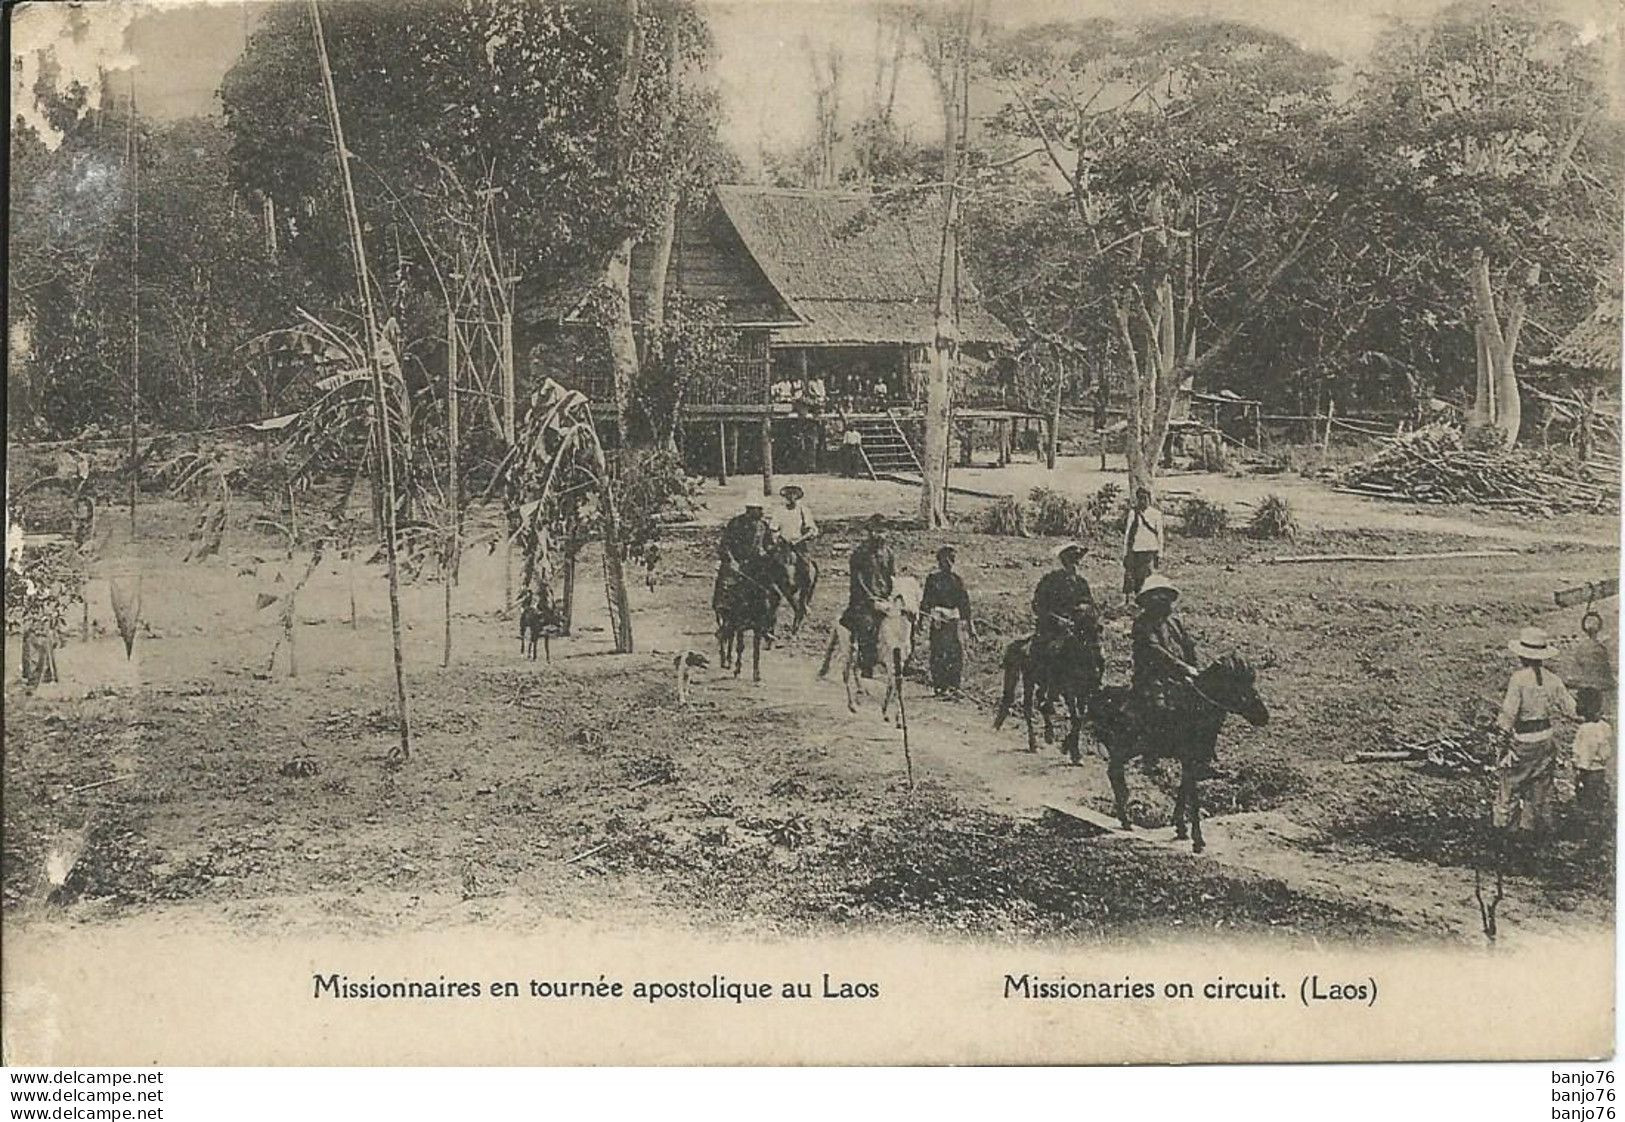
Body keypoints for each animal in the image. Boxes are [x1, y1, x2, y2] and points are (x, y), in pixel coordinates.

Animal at [715, 543, 796, 676]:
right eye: (779, 565)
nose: (793, 586)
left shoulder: (757, 628)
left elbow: (756, 651)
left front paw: (756, 674)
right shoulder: (740, 626)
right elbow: (740, 647)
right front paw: (737, 669)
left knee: (727, 635)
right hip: (725, 618)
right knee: (724, 635)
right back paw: (725, 660)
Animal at [988, 611, 1105, 761]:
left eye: (1099, 631)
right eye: (1083, 632)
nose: (1099, 656)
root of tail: (1024, 643)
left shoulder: (1084, 693)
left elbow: (1081, 717)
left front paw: (1069, 748)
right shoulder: (1070, 692)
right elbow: (1076, 718)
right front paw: (1073, 752)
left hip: (1044, 684)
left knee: (1043, 703)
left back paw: (1048, 733)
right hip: (1029, 680)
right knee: (1029, 708)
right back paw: (1034, 743)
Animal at [1085, 650, 1274, 852]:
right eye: (1238, 683)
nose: (1263, 716)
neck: (1197, 707)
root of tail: (1099, 697)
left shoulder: (1190, 760)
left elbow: (1183, 791)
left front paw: (1181, 827)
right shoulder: (1191, 760)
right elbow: (1193, 798)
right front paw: (1197, 840)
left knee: (1115, 773)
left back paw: (1124, 817)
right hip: (1125, 746)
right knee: (1115, 773)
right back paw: (1125, 818)